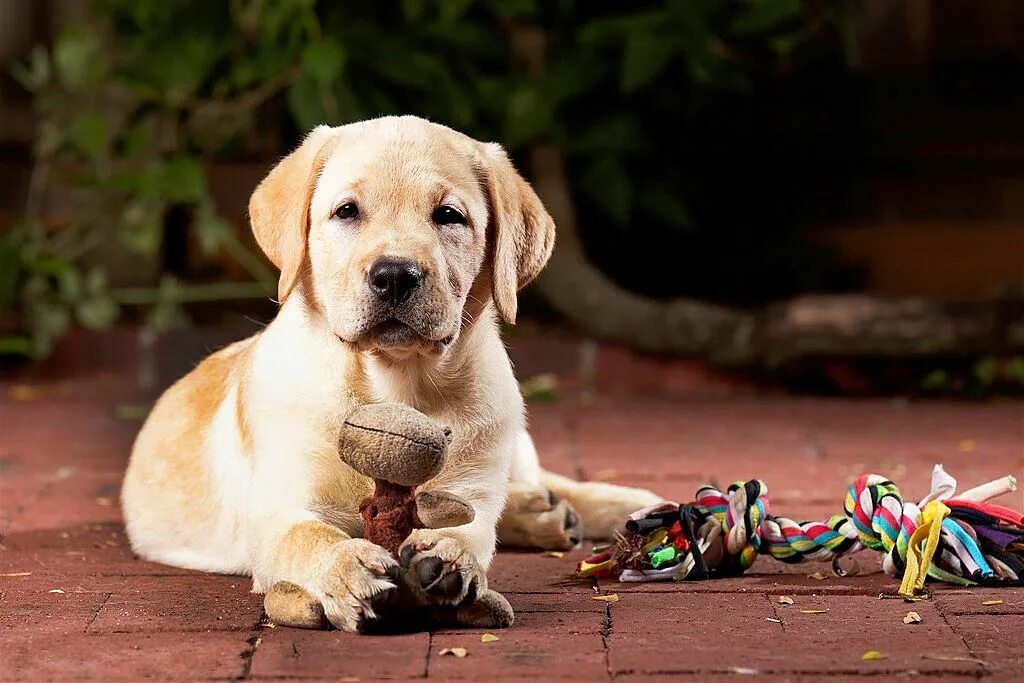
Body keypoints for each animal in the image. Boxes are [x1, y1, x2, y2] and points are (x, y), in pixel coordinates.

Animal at [121, 116, 663, 630]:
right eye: (346, 211)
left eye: (449, 215)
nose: (396, 275)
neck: (398, 387)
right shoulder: (280, 509)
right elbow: (309, 536)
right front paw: (348, 568)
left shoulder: (472, 487)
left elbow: (469, 529)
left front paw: (447, 556)